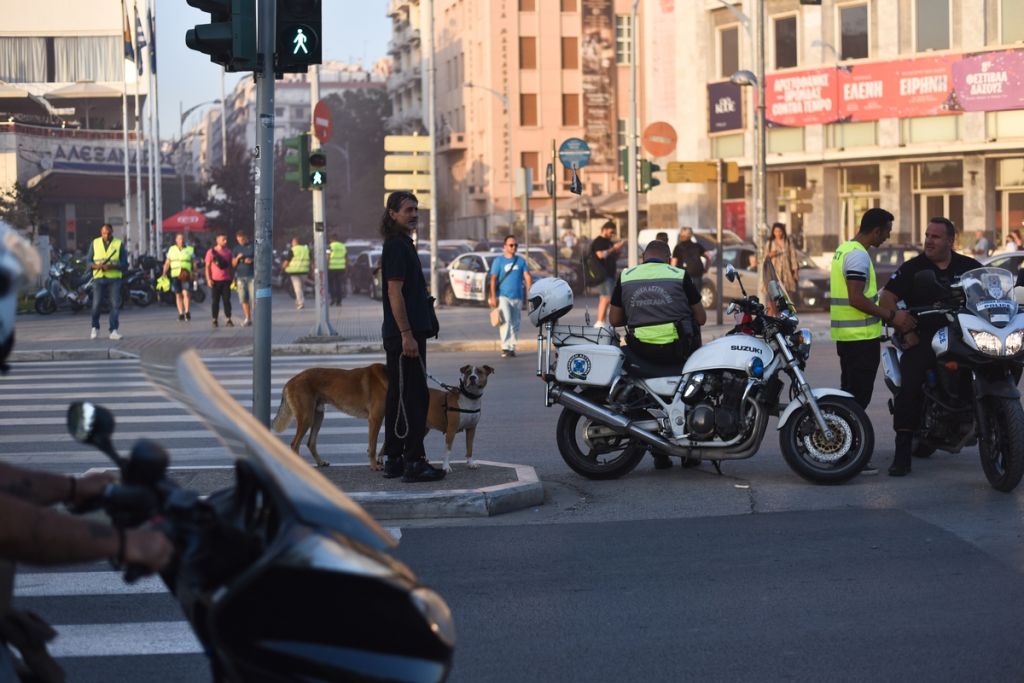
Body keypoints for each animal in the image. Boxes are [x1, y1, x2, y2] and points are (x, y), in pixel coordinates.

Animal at [272, 362, 495, 471]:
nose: (470, 379)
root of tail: (289, 381)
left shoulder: (389, 419)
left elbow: (385, 442)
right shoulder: (376, 419)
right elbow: (372, 446)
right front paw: (374, 466)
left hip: (318, 416)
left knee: (310, 442)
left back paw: (319, 463)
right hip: (307, 417)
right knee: (294, 444)